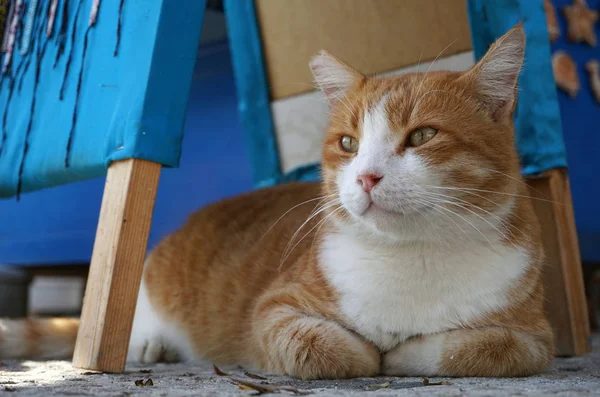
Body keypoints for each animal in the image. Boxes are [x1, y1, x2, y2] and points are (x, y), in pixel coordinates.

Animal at [0, 26, 552, 378]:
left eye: (422, 136)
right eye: (348, 143)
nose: (366, 177)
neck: (413, 256)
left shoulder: (536, 334)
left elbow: (488, 348)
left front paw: (405, 353)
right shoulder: (274, 309)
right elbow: (324, 349)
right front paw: (374, 353)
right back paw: (147, 342)